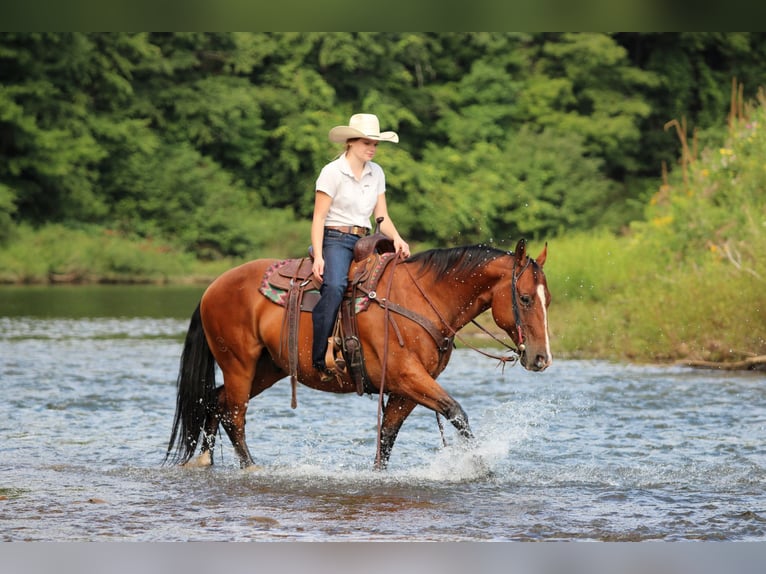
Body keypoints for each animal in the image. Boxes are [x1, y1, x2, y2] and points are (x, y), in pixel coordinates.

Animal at [165, 238, 551, 470]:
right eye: (525, 298)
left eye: (547, 299)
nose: (541, 358)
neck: (420, 299)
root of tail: (212, 287)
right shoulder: (407, 377)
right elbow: (457, 413)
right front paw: (480, 467)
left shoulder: (407, 389)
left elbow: (387, 437)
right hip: (239, 364)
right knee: (234, 414)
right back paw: (250, 468)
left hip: (268, 368)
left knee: (216, 403)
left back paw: (206, 461)